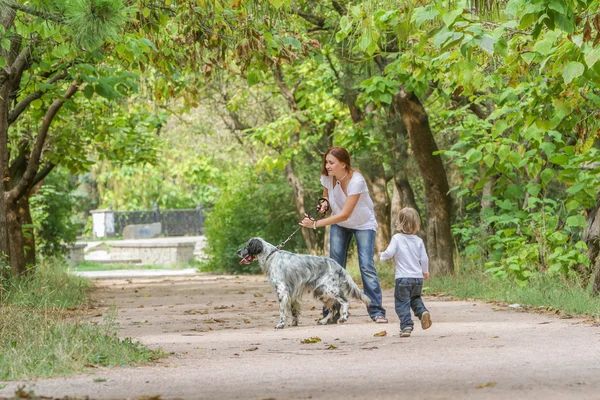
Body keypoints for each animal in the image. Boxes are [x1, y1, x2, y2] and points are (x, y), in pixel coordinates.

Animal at [236, 238, 370, 328]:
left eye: (247, 246)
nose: (238, 251)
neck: (271, 257)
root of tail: (339, 266)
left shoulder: (282, 290)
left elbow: (282, 310)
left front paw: (281, 324)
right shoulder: (291, 292)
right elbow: (293, 310)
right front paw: (294, 323)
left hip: (328, 289)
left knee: (344, 302)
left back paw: (343, 317)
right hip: (321, 291)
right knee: (333, 308)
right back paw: (324, 321)